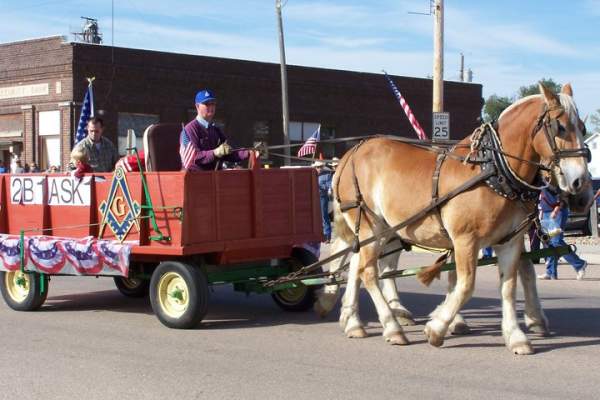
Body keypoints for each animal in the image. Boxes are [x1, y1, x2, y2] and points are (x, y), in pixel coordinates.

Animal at [318, 83, 592, 354]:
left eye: (583, 128)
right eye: (560, 127)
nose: (580, 183)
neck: (494, 170)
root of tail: (352, 153)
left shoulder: (509, 241)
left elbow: (508, 286)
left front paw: (516, 335)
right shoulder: (465, 240)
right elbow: (465, 284)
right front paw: (438, 327)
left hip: (382, 229)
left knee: (358, 265)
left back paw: (353, 320)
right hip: (371, 225)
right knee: (368, 272)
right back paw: (391, 326)